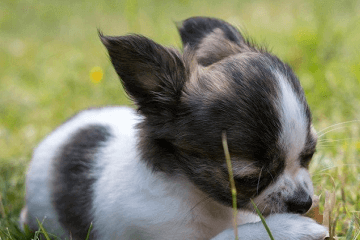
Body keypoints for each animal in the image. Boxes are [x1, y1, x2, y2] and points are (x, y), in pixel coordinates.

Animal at [21, 16, 328, 238]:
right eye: (249, 178)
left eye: (309, 156)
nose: (303, 203)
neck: (206, 202)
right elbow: (232, 235)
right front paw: (291, 227)